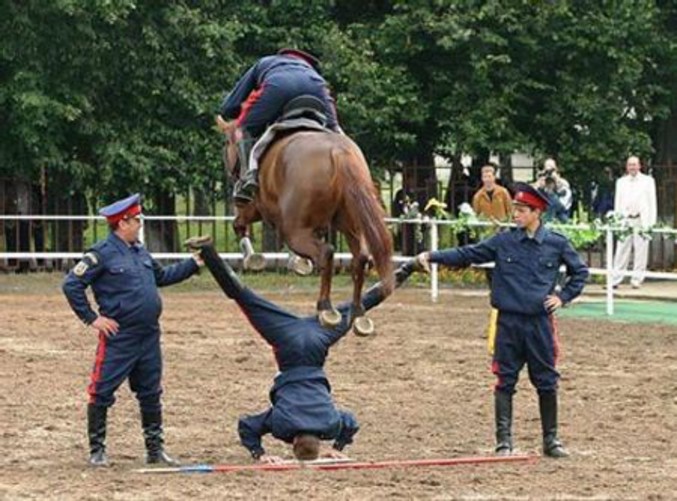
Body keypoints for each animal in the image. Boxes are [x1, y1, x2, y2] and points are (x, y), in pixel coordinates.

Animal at [217, 115, 394, 334]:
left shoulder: (254, 208)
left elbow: (239, 224)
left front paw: (253, 258)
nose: (229, 171)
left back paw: (325, 308)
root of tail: (338, 152)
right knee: (360, 258)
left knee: (326, 252)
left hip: (295, 231)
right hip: (351, 225)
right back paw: (358, 313)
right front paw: (299, 262)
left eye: (227, 143)